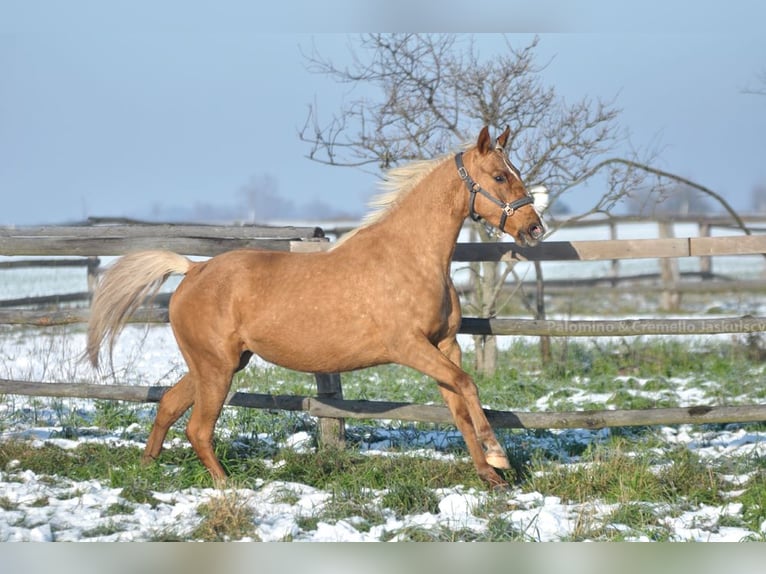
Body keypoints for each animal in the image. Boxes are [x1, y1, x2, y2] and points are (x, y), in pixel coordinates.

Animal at [86, 126, 545, 489]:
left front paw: (491, 476)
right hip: (216, 367)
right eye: (500, 175)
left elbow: (461, 406)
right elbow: (467, 386)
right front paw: (499, 454)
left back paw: (147, 469)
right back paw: (226, 484)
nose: (535, 229)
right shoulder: (410, 347)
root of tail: (194, 269)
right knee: (198, 428)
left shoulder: (446, 345)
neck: (411, 257)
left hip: (217, 364)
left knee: (167, 406)